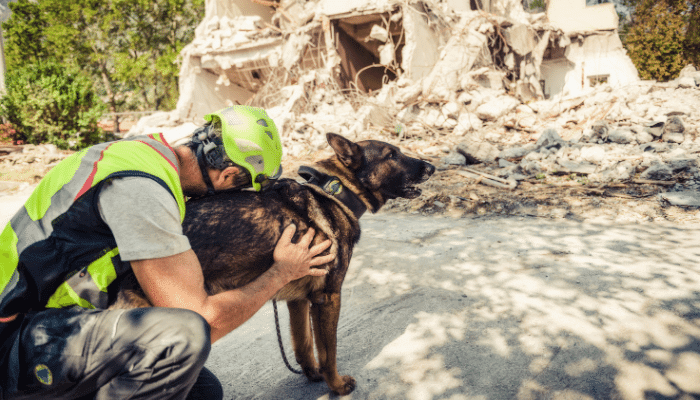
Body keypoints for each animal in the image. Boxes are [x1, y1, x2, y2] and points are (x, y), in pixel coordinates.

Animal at [114, 134, 434, 394]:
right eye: (391, 155)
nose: (431, 166)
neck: (335, 192)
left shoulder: (299, 300)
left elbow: (303, 344)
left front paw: (312, 374)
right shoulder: (328, 297)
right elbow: (329, 351)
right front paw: (337, 385)